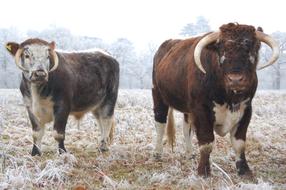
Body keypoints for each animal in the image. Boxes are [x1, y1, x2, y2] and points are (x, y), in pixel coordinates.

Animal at [152, 22, 280, 177]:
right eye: (222, 49)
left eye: (251, 49)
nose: (235, 79)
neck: (230, 98)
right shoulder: (201, 110)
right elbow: (206, 142)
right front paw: (203, 171)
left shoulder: (246, 109)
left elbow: (239, 143)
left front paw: (244, 170)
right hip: (158, 95)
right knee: (160, 124)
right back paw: (157, 153)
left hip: (188, 108)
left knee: (186, 127)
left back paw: (189, 153)